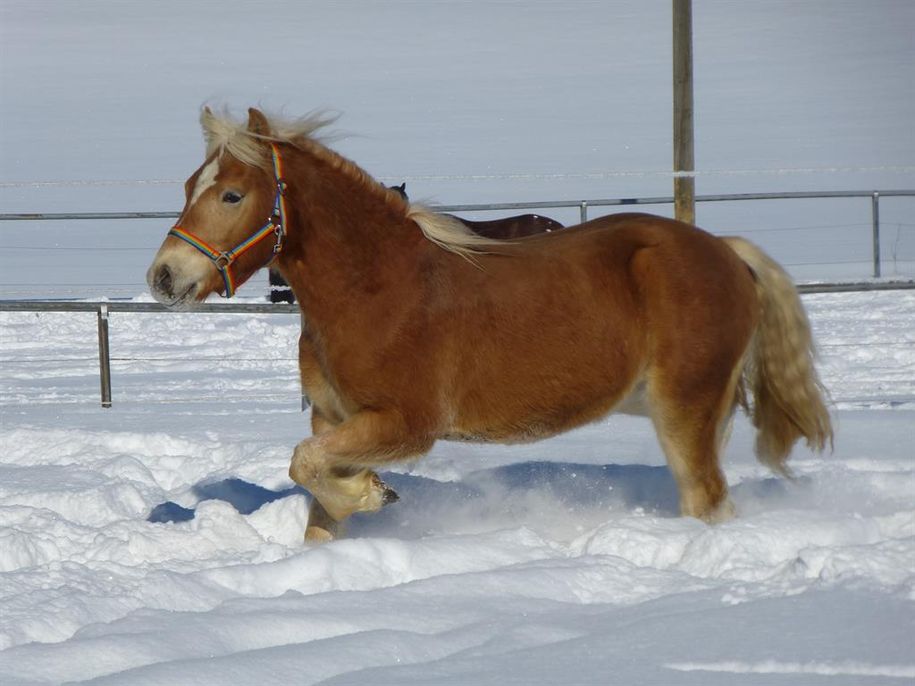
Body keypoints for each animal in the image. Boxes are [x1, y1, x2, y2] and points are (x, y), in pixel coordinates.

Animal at [147, 109, 832, 548]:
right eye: (187, 186)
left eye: (233, 195)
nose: (164, 276)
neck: (377, 289)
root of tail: (725, 252)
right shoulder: (332, 419)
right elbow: (317, 505)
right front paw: (359, 505)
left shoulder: (406, 425)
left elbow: (305, 464)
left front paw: (373, 494)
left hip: (685, 409)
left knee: (707, 501)